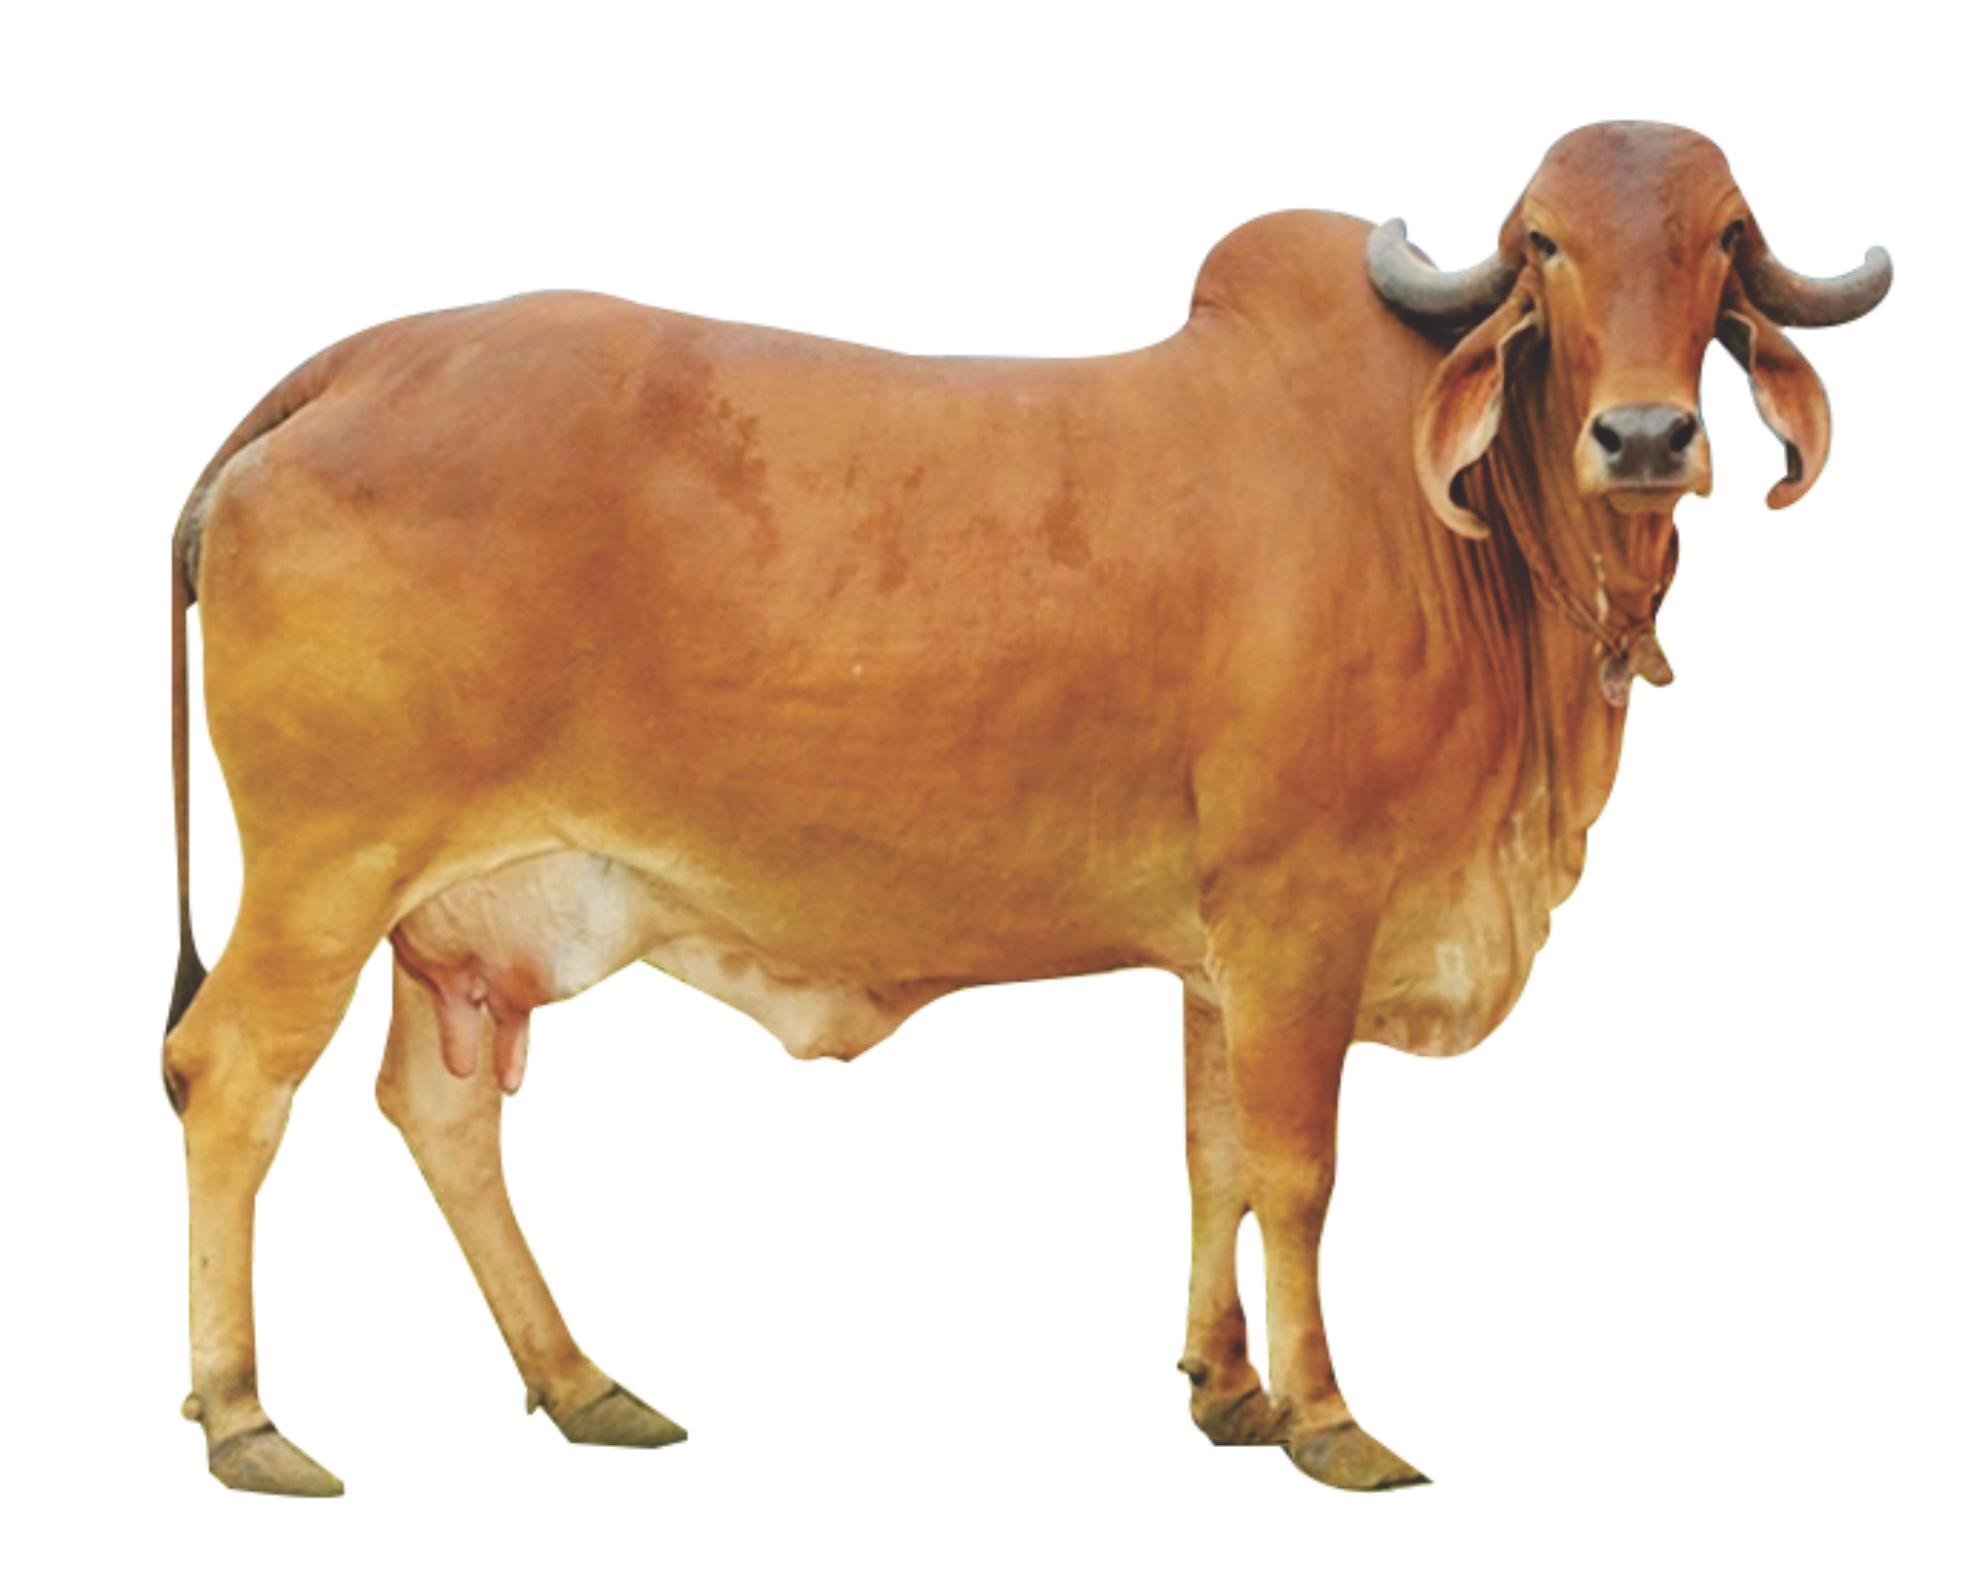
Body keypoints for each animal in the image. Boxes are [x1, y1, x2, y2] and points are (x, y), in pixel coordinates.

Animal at [161, 119, 1892, 1498]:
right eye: (1546, 249)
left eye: (1724, 241)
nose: (1650, 438)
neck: (1470, 538)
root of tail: (355, 362)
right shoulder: (1305, 910)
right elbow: (1299, 1168)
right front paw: (1331, 1421)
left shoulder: (1217, 948)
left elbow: (1212, 1153)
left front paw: (1228, 1389)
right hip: (322, 875)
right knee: (230, 1082)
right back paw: (248, 1422)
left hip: (448, 917)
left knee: (439, 1113)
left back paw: (585, 1385)